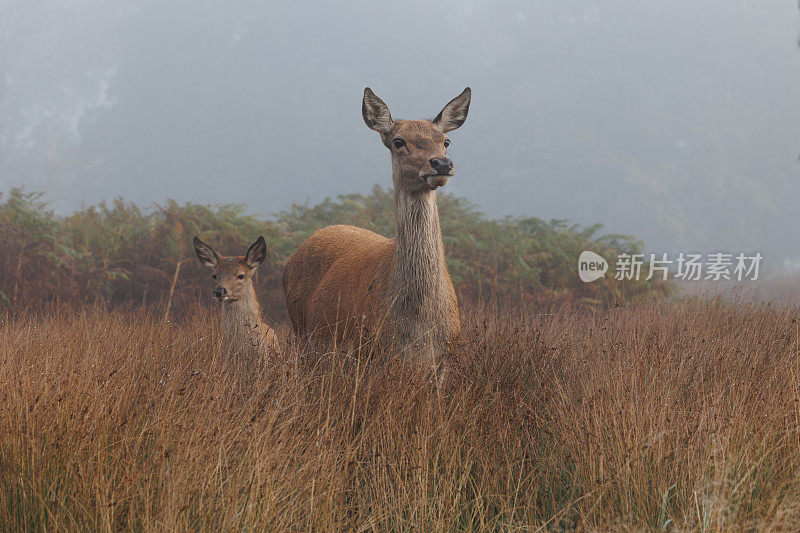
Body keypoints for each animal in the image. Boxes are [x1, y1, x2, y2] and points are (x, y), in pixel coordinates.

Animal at [284, 87, 468, 370]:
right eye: (399, 141)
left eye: (446, 141)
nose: (442, 163)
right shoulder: (369, 354)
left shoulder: (445, 357)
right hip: (303, 336)